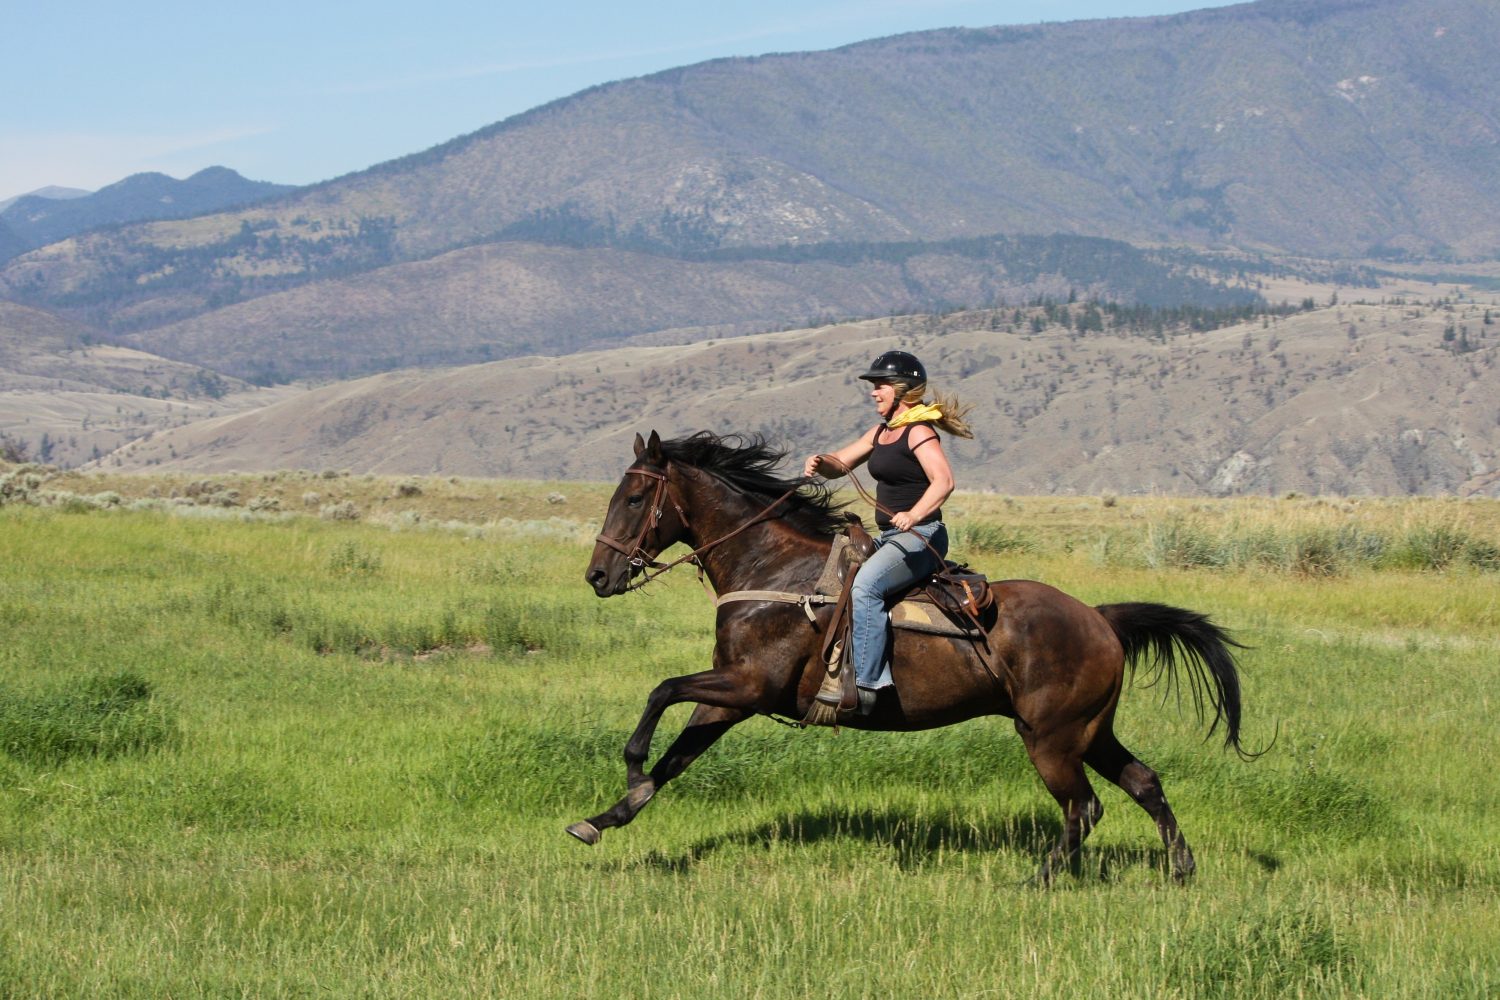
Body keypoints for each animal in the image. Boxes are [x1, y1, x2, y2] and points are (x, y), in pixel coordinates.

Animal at [567, 431, 1248, 881]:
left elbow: (661, 691)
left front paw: (630, 769)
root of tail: (1100, 618)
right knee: (1144, 782)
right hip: (1089, 731)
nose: (598, 575)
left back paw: (1040, 878)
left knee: (1084, 806)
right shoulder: (731, 697)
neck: (772, 570)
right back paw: (1181, 868)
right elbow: (677, 755)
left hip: (1051, 738)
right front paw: (607, 815)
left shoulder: (747, 686)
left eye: (634, 499)